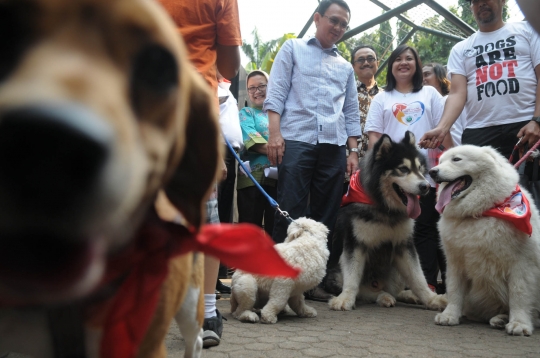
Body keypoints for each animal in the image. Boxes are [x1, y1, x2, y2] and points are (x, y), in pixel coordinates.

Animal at [430, 145, 540, 336]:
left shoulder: (522, 265)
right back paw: (499, 319)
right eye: (440, 161)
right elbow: (454, 291)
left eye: (456, 159)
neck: (479, 213)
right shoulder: (456, 263)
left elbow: (519, 295)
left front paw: (519, 324)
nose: (432, 172)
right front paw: (450, 315)